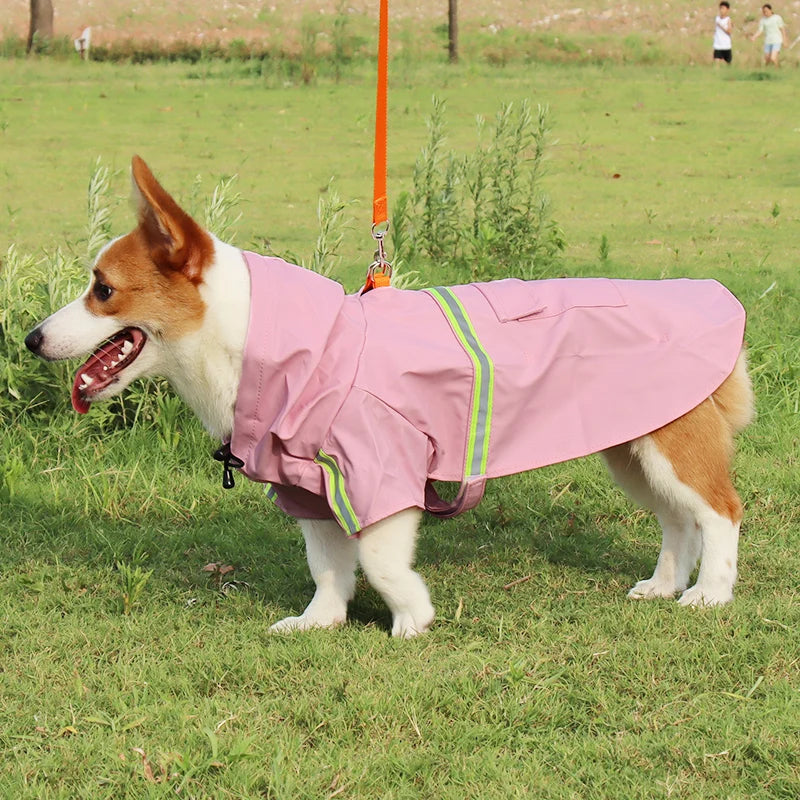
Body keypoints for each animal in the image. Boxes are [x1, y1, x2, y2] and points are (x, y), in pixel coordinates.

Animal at [23, 159, 752, 640]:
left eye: (102, 289)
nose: (31, 338)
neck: (248, 342)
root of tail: (709, 295)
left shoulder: (383, 472)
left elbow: (377, 558)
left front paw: (412, 617)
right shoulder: (308, 484)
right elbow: (327, 565)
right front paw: (321, 621)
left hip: (674, 448)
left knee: (720, 514)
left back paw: (711, 594)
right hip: (634, 449)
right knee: (678, 521)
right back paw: (665, 584)